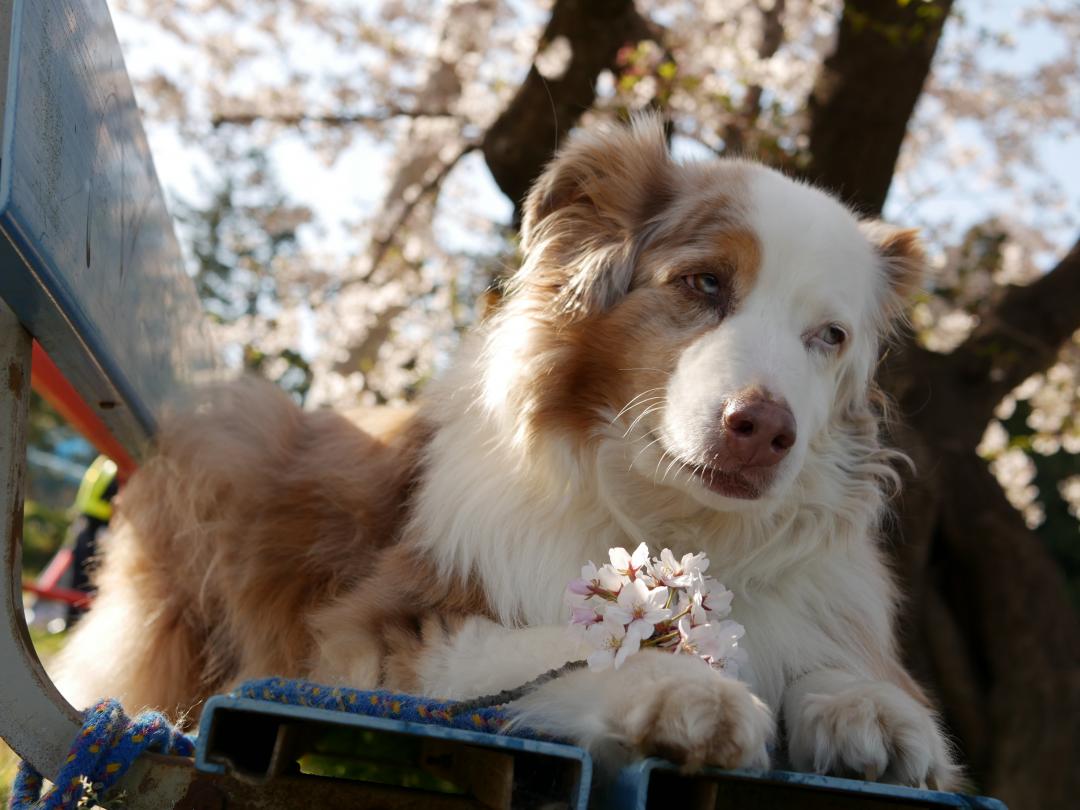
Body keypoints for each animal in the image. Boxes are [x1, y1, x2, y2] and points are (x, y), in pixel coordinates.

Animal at [54, 117, 959, 790]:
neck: (677, 518)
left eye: (830, 336)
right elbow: (569, 645)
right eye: (704, 283)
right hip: (235, 433)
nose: (766, 429)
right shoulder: (389, 628)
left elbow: (828, 665)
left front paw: (866, 708)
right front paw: (679, 686)